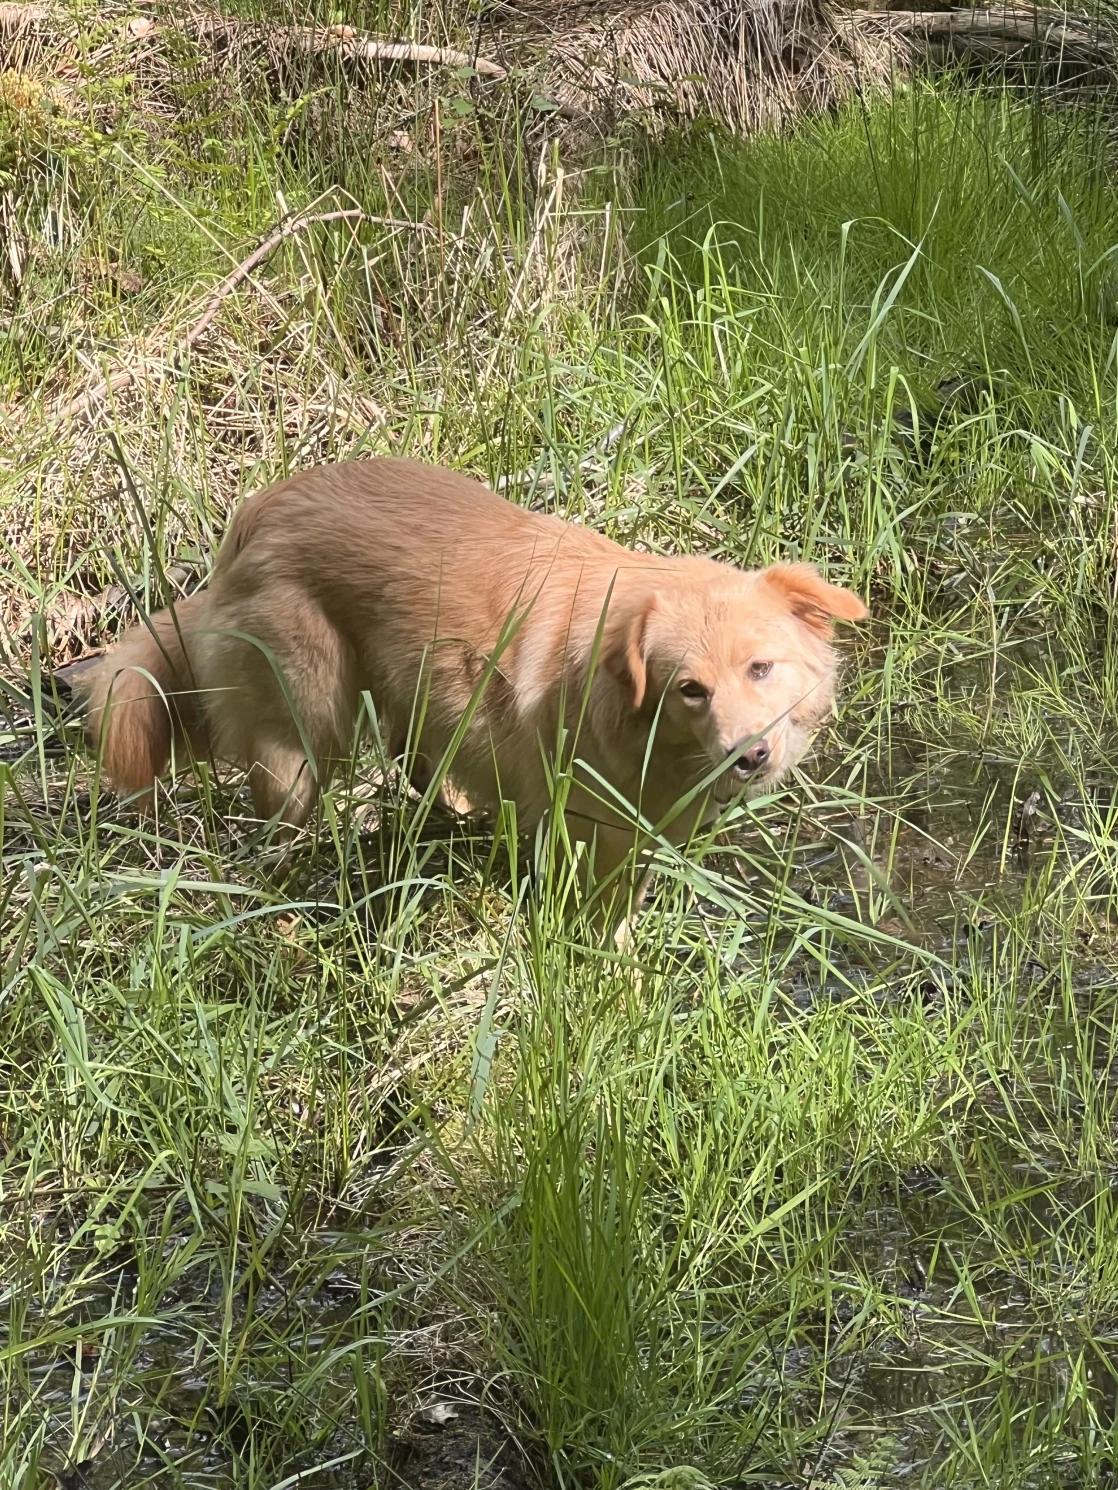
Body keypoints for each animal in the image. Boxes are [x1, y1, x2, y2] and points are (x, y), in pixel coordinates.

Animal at [87, 458, 870, 911]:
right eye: (691, 690)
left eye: (761, 668)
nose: (750, 757)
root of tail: (255, 516)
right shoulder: (591, 832)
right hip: (305, 732)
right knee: (285, 808)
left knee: (417, 760)